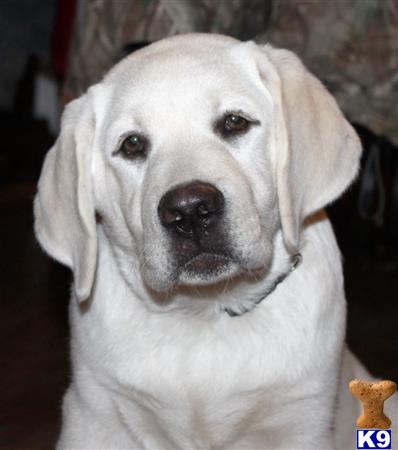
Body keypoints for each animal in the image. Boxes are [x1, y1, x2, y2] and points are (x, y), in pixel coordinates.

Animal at [33, 33, 394, 448]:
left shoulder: (304, 421)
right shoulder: (94, 413)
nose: (189, 210)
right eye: (132, 145)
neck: (206, 310)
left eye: (235, 122)